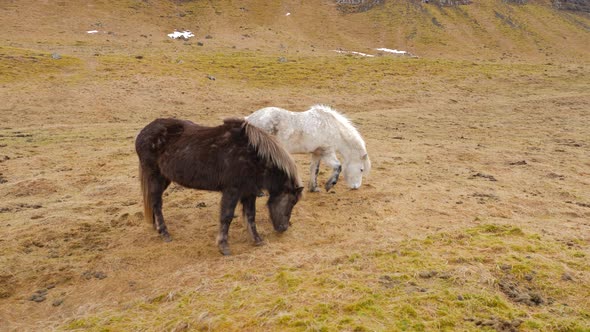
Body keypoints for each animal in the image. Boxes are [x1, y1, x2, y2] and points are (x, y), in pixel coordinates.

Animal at [136, 118, 302, 255]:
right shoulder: (232, 191)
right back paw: (164, 232)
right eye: (292, 201)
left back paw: (156, 227)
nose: (283, 228)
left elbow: (250, 216)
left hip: (164, 178)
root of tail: (143, 132)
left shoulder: (248, 192)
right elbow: (226, 216)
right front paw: (223, 246)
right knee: (156, 203)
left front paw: (257, 240)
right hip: (155, 176)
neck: (253, 157)